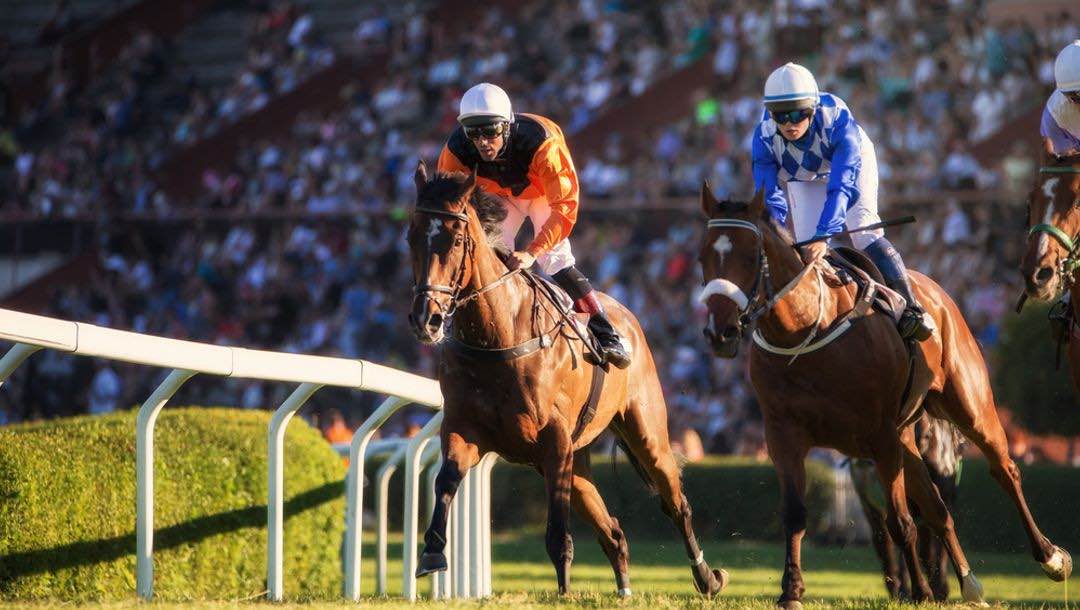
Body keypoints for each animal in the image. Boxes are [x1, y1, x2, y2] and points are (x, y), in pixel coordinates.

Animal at [404, 163, 728, 597]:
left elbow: (558, 529)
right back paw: (624, 588)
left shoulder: (554, 440)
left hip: (647, 434)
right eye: (411, 235)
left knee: (675, 502)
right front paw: (432, 552)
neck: (497, 335)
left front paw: (564, 590)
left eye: (456, 239)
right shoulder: (465, 428)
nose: (427, 319)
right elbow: (445, 480)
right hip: (578, 460)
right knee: (613, 530)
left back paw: (707, 577)